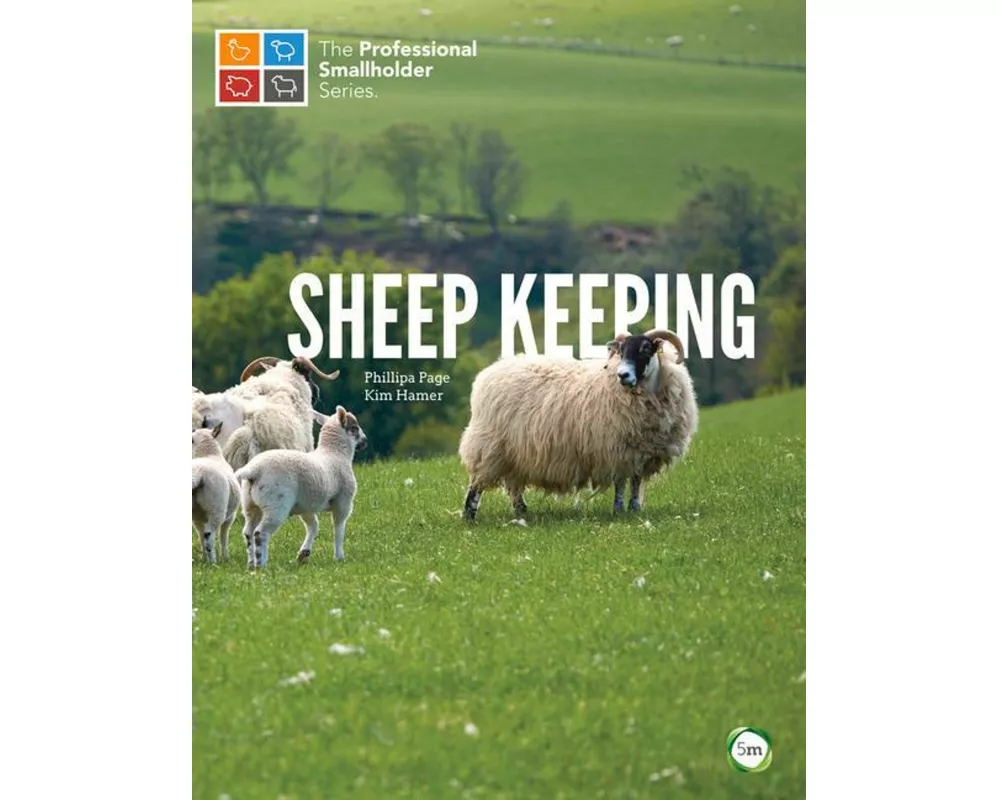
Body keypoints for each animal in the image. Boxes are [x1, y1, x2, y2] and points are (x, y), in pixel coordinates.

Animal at [192, 424, 240, 564]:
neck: (208, 454)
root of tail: (199, 472)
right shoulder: (230, 517)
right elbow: (224, 537)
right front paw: (225, 558)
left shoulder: (197, 519)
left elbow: (200, 536)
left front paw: (203, 558)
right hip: (216, 509)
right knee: (209, 535)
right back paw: (213, 562)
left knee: (204, 536)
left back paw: (206, 560)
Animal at [234, 406, 368, 569]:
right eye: (354, 427)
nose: (365, 441)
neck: (335, 454)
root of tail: (253, 470)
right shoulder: (343, 503)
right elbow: (339, 529)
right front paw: (339, 557)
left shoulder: (307, 506)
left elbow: (313, 526)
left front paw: (304, 554)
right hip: (276, 504)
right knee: (261, 533)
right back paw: (262, 564)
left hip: (250, 504)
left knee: (248, 532)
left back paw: (251, 564)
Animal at [458, 328, 698, 520]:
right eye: (621, 351)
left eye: (646, 349)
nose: (623, 375)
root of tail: (488, 373)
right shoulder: (617, 449)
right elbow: (621, 483)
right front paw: (619, 510)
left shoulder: (640, 452)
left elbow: (636, 482)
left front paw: (635, 509)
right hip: (489, 446)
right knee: (476, 483)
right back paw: (470, 516)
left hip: (515, 452)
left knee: (513, 484)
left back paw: (521, 511)